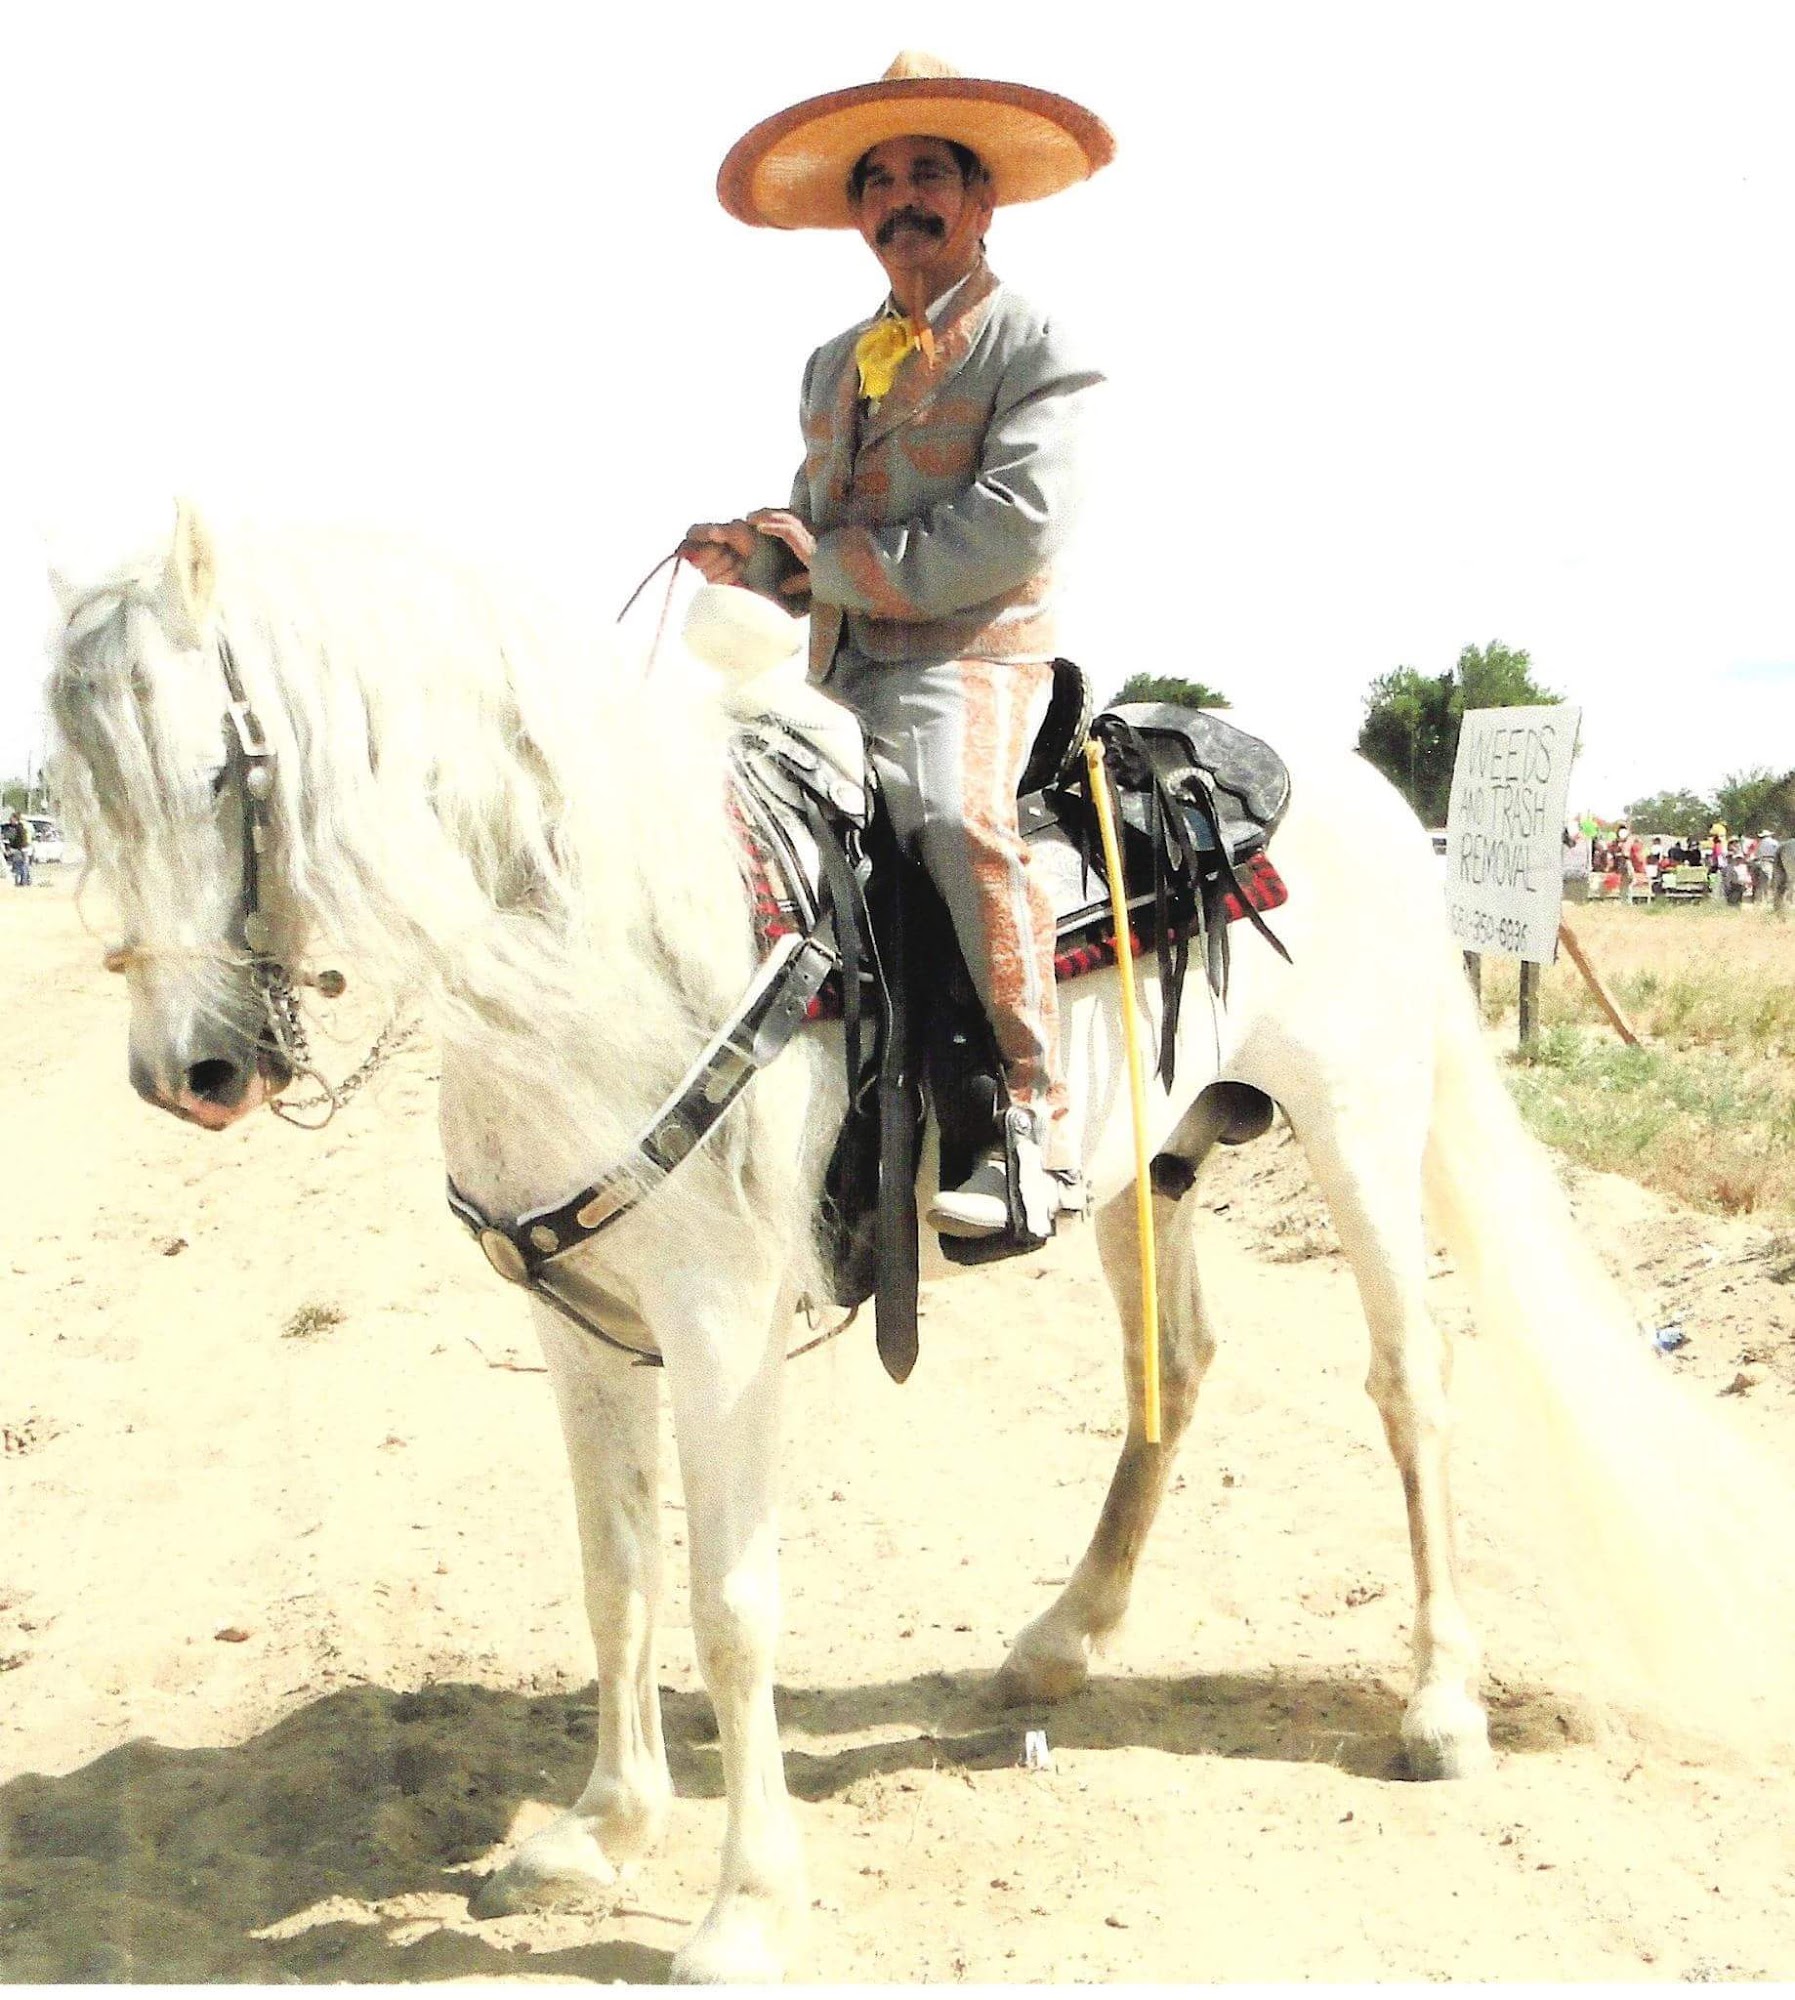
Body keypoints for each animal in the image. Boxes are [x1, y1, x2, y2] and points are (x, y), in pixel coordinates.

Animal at [46, 504, 1795, 1982]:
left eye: (218, 773)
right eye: (74, 798)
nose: (188, 1074)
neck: (596, 940)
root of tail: (1364, 794)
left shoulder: (720, 1324)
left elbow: (726, 1604)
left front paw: (746, 1909)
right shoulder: (578, 1321)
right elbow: (614, 1577)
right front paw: (601, 1833)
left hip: (1360, 1133)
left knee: (1407, 1381)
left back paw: (1437, 1705)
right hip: (1149, 1165)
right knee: (1174, 1376)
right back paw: (1057, 1644)